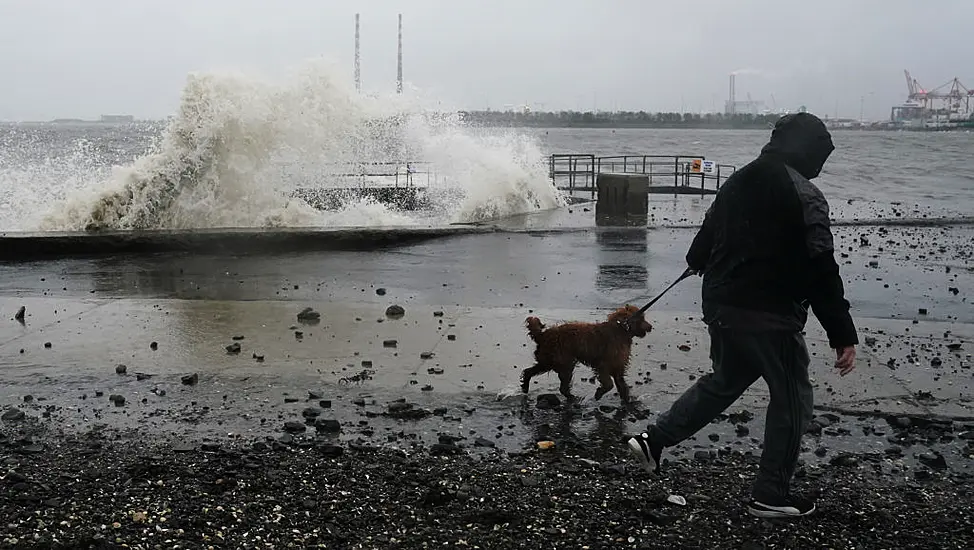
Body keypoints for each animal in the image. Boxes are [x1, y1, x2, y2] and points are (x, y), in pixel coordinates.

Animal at [524, 306, 652, 406]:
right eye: (641, 319)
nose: (650, 327)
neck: (621, 330)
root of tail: (542, 335)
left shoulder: (618, 367)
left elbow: (622, 385)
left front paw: (627, 401)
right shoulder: (602, 365)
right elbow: (608, 384)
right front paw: (598, 393)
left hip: (550, 360)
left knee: (529, 371)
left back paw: (525, 386)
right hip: (561, 361)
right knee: (562, 386)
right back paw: (572, 398)